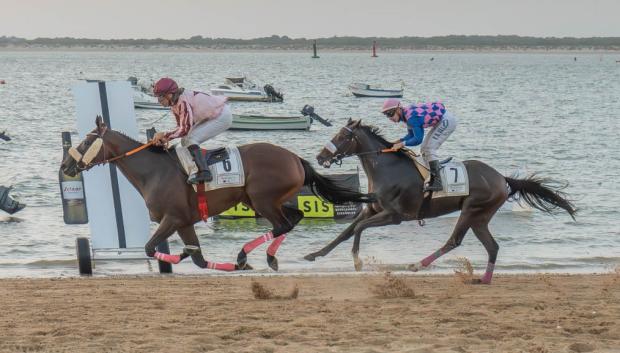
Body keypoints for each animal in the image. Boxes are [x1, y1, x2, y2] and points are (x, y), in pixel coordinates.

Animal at [61, 117, 372, 270]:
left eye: (86, 141)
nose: (66, 165)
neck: (153, 171)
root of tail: (295, 158)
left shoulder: (172, 219)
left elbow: (150, 248)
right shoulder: (184, 222)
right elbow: (197, 258)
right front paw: (189, 255)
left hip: (261, 199)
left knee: (284, 223)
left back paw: (244, 256)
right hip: (266, 200)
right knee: (294, 218)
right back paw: (268, 258)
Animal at [306, 118, 576, 284]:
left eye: (342, 136)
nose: (320, 157)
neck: (386, 169)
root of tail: (502, 178)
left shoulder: (395, 216)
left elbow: (359, 229)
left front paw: (357, 261)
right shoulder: (371, 210)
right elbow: (346, 232)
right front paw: (314, 254)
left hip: (471, 211)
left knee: (454, 241)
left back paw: (417, 265)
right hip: (481, 218)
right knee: (492, 247)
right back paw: (483, 279)